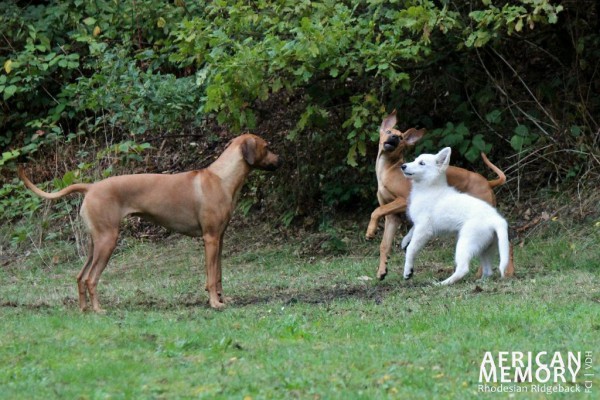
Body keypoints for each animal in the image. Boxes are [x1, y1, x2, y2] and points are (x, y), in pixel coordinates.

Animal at [18, 134, 281, 311]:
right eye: (267, 147)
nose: (280, 159)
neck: (222, 178)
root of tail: (91, 187)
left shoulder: (221, 238)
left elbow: (219, 275)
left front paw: (224, 298)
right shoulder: (210, 239)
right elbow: (211, 275)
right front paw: (215, 303)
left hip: (95, 243)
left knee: (80, 276)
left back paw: (84, 309)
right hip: (107, 241)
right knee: (92, 278)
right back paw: (99, 309)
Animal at [400, 147, 510, 284]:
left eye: (422, 163)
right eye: (415, 160)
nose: (403, 166)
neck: (428, 188)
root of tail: (496, 219)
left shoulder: (423, 229)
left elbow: (411, 249)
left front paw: (408, 271)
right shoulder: (418, 224)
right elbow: (411, 231)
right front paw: (405, 241)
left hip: (465, 243)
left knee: (463, 269)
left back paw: (443, 283)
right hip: (485, 248)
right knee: (488, 271)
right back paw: (480, 281)